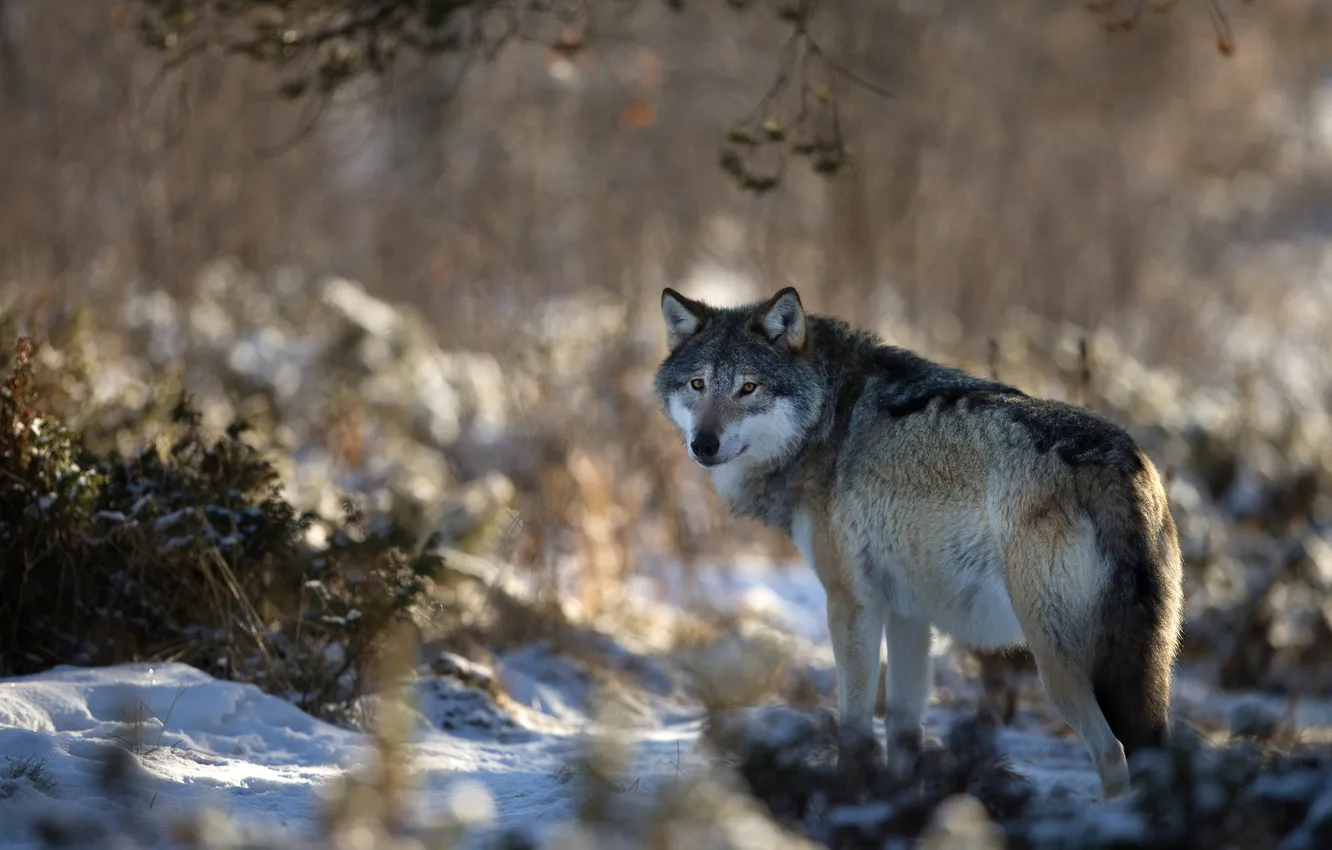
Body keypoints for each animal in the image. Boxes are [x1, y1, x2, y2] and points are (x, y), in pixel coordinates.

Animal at [655, 286, 1188, 799]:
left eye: (749, 388)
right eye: (698, 385)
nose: (703, 444)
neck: (826, 417)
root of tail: (1120, 463)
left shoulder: (852, 604)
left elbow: (855, 725)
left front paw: (848, 797)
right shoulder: (908, 612)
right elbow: (903, 728)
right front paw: (898, 800)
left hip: (1055, 665)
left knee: (1112, 753)